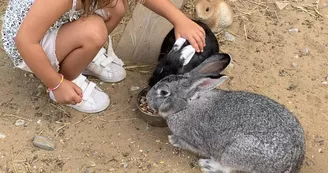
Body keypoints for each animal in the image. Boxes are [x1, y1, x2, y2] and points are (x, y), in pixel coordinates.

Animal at [146, 54, 304, 173]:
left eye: (164, 92)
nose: (147, 97)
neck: (187, 105)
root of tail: (294, 163)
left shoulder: (194, 141)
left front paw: (173, 140)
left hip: (234, 153)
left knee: (227, 168)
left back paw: (207, 165)